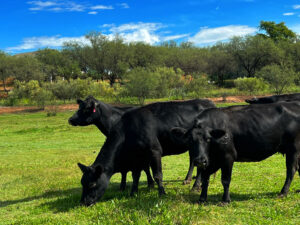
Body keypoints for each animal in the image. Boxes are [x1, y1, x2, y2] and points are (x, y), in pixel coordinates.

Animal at [77, 99, 216, 206]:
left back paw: (195, 186)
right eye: (82, 183)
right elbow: (136, 175)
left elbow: (157, 175)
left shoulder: (154, 150)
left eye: (92, 184)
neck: (129, 129)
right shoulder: (137, 157)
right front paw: (133, 192)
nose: (83, 202)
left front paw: (161, 192)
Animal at [171, 103, 300, 203]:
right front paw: (202, 199)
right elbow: (205, 179)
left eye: (208, 139)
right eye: (190, 140)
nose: (199, 160)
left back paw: (283, 192)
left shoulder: (228, 157)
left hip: (293, 149)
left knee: (291, 170)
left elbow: (225, 180)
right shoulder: (210, 161)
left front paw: (225, 200)